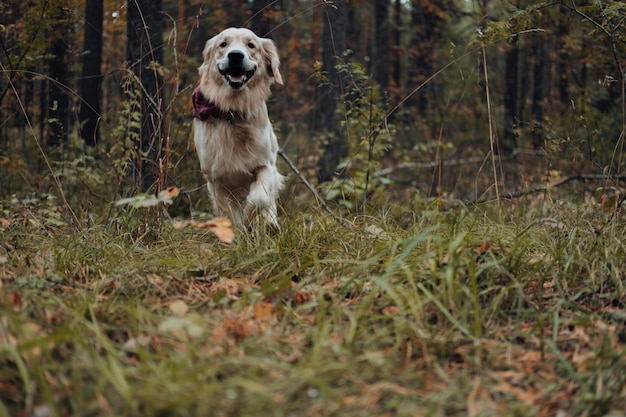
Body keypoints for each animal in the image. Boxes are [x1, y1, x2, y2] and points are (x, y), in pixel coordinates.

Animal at [191, 27, 284, 228]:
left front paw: (252, 216)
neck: (232, 111)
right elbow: (230, 214)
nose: (235, 55)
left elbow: (259, 198)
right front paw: (239, 230)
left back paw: (271, 223)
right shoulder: (215, 179)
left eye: (251, 45)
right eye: (223, 44)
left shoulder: (265, 165)